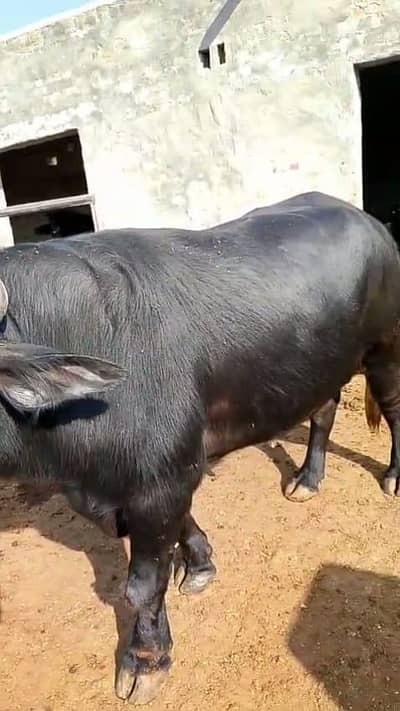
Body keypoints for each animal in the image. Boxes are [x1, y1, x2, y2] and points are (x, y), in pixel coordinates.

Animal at [1, 190, 400, 705]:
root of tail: (369, 222)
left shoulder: (159, 482)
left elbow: (141, 586)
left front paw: (144, 663)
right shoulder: (151, 475)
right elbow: (179, 532)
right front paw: (200, 563)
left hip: (385, 348)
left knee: (394, 406)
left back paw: (393, 477)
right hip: (321, 368)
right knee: (323, 411)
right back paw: (308, 480)